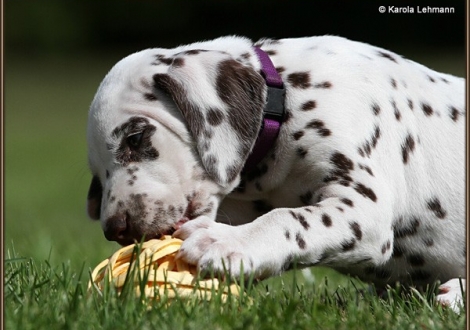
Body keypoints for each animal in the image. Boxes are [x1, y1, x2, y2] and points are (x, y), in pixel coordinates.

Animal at [86, 36, 464, 312]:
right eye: (98, 177)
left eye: (135, 138)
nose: (115, 230)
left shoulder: (364, 207)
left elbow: (288, 218)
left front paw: (224, 242)